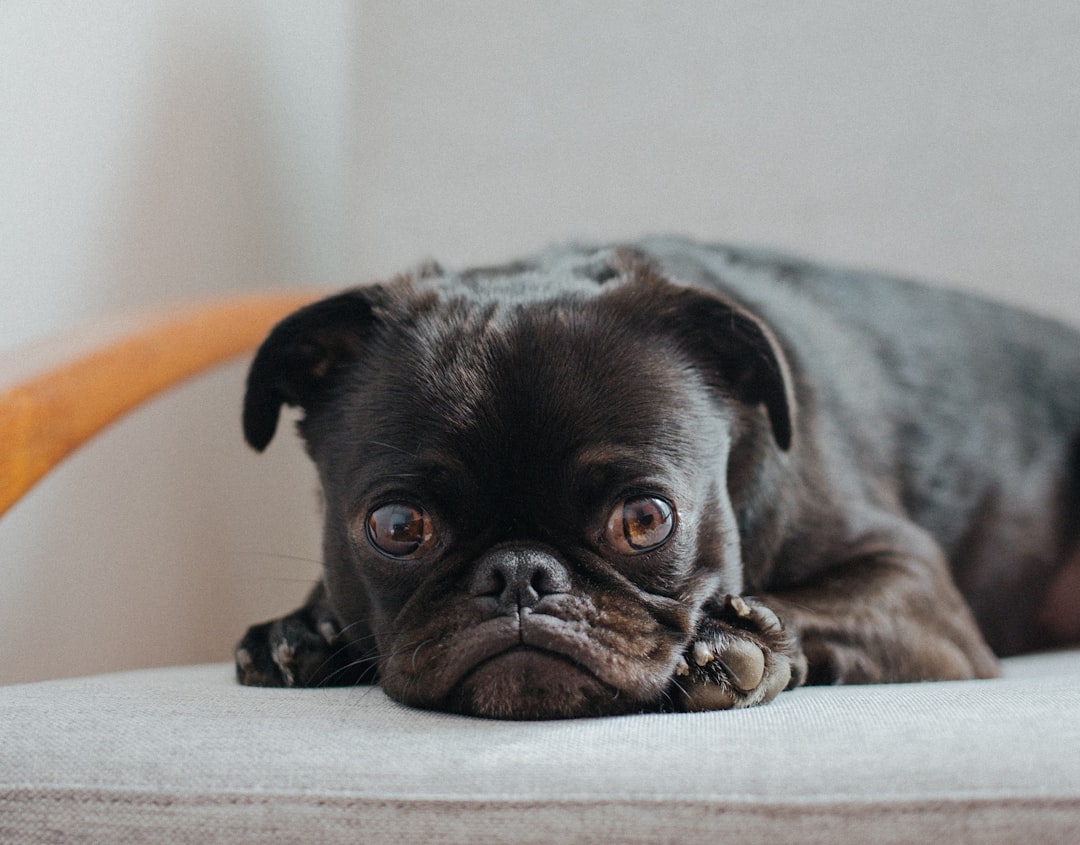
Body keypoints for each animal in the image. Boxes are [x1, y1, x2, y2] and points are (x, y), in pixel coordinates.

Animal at [230, 237, 1080, 721]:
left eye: (644, 519)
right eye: (397, 527)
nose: (519, 573)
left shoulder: (917, 591)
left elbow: (819, 602)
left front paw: (738, 641)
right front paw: (302, 627)